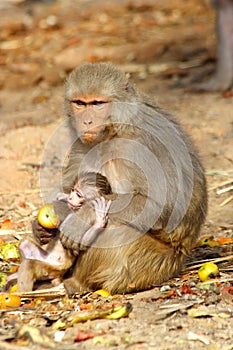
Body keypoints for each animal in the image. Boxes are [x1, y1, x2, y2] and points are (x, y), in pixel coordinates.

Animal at [33, 62, 208, 292]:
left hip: (155, 265)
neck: (115, 130)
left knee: (116, 229)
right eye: (80, 103)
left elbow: (160, 206)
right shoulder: (82, 143)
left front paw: (82, 217)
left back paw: (75, 283)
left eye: (97, 103)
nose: (86, 121)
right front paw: (41, 227)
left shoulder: (141, 146)